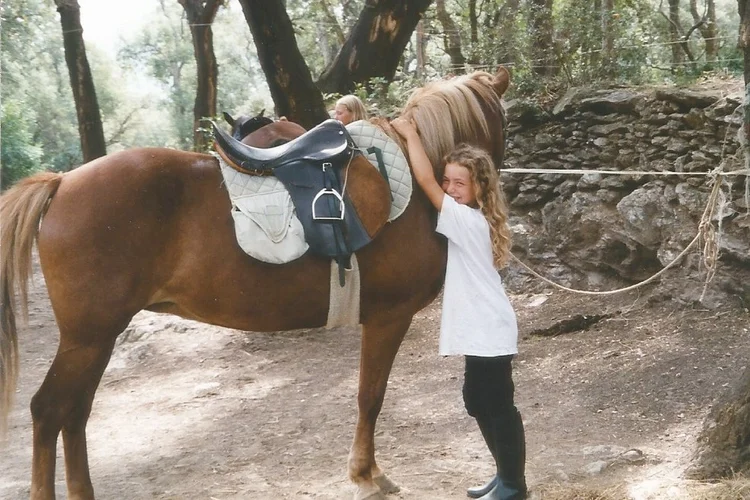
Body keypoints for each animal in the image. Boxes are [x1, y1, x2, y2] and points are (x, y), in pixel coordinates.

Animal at [0, 67, 512, 500]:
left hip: (95, 339)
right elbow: (371, 395)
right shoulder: (389, 317)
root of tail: (62, 182)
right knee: (49, 411)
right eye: (503, 121)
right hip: (88, 338)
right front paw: (367, 475)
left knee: (75, 413)